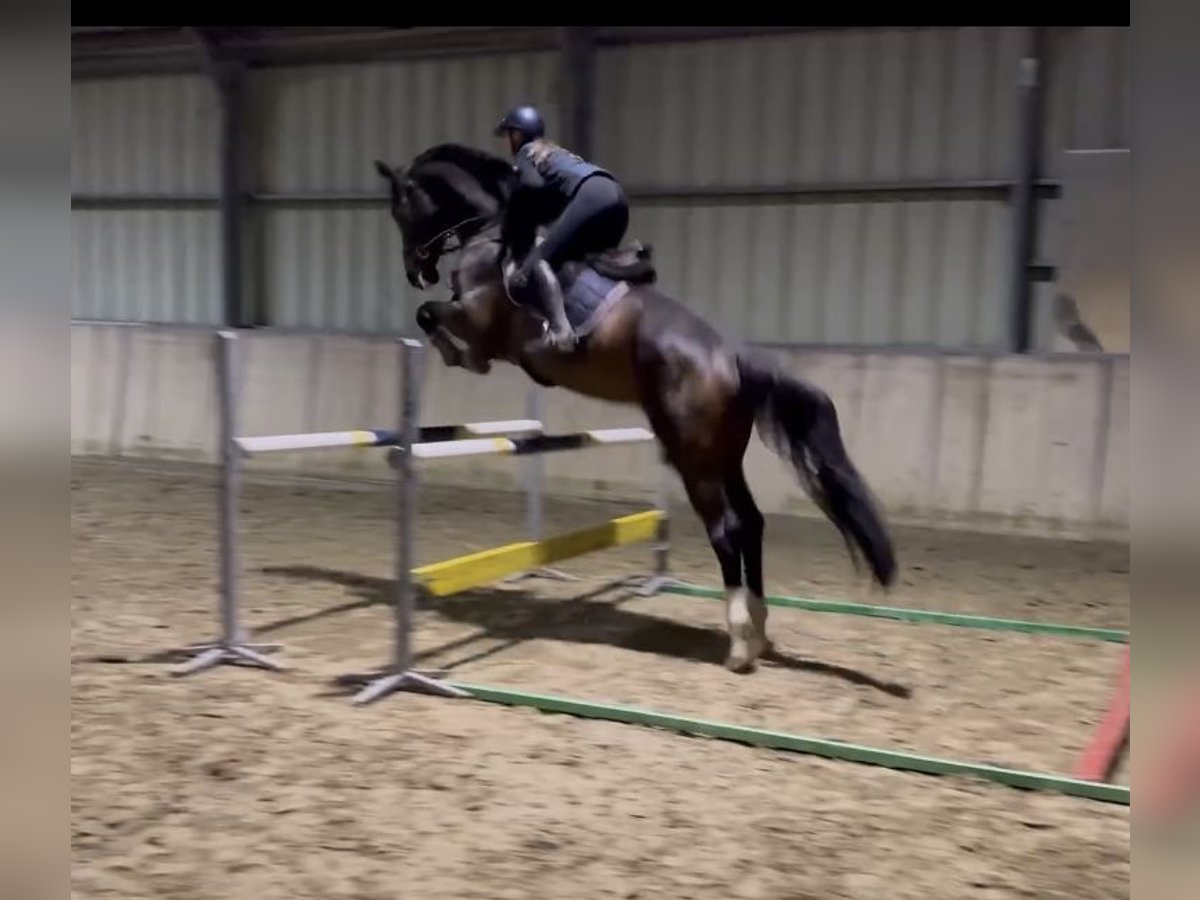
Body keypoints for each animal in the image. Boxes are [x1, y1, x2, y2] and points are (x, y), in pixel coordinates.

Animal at [369, 144, 897, 672]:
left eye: (401, 208)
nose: (418, 271)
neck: (494, 232)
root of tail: (731, 357)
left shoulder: (479, 316)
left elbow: (433, 317)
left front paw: (458, 355)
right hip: (722, 454)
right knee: (751, 524)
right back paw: (760, 631)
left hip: (692, 457)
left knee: (726, 530)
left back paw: (738, 642)